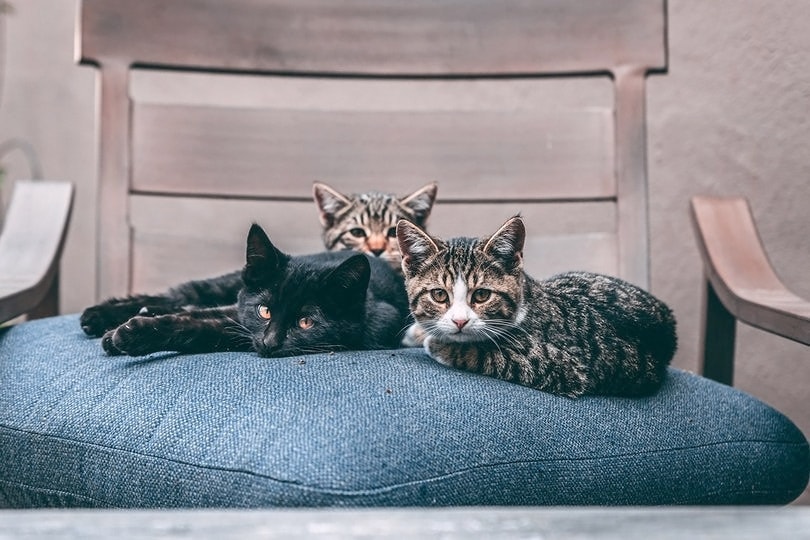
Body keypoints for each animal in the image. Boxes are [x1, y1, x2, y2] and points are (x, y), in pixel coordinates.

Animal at [82, 225, 408, 358]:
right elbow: (201, 315)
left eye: (306, 322)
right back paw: (98, 315)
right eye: (264, 311)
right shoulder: (242, 312)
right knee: (183, 295)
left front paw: (126, 335)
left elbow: (202, 326)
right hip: (223, 285)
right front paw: (119, 333)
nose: (270, 342)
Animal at [394, 215, 672, 396]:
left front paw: (438, 344)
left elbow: (485, 353)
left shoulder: (564, 365)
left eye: (482, 295)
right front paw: (421, 333)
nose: (460, 321)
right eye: (439, 295)